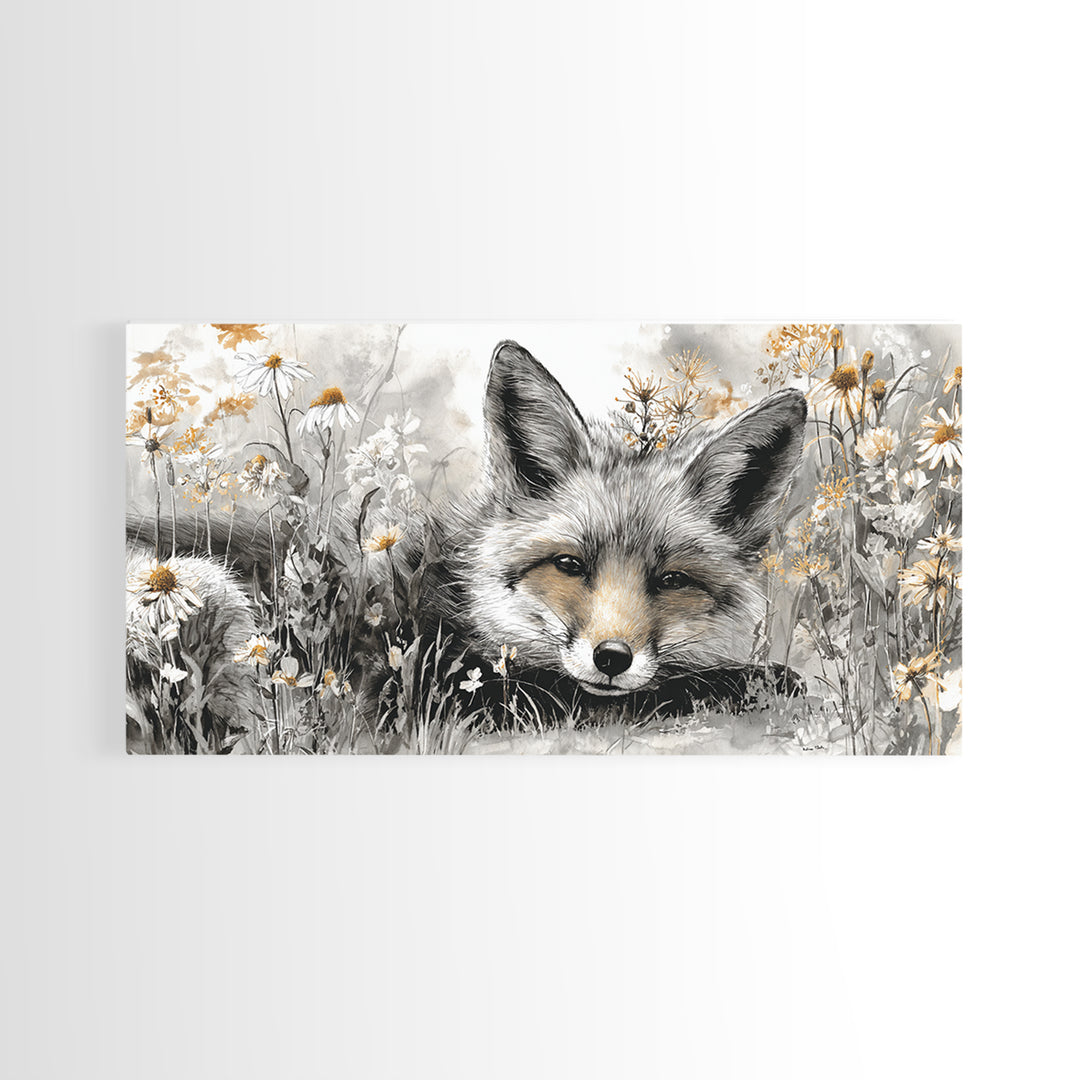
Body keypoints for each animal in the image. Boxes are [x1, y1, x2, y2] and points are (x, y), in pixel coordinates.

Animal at [128, 339, 808, 731]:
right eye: (569, 565)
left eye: (671, 580)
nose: (611, 659)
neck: (459, 596)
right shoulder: (431, 690)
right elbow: (626, 696)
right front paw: (757, 681)